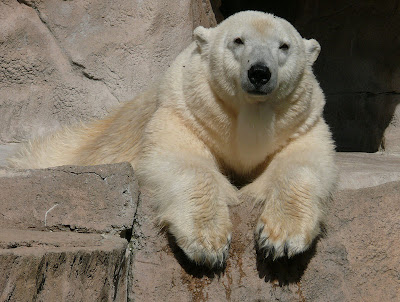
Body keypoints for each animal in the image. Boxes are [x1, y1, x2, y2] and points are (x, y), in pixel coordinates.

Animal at [7, 11, 338, 266]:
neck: (249, 115)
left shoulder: (299, 123)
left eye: (284, 46)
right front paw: (208, 242)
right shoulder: (187, 111)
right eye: (238, 41)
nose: (259, 72)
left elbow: (304, 162)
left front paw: (281, 240)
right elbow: (182, 160)